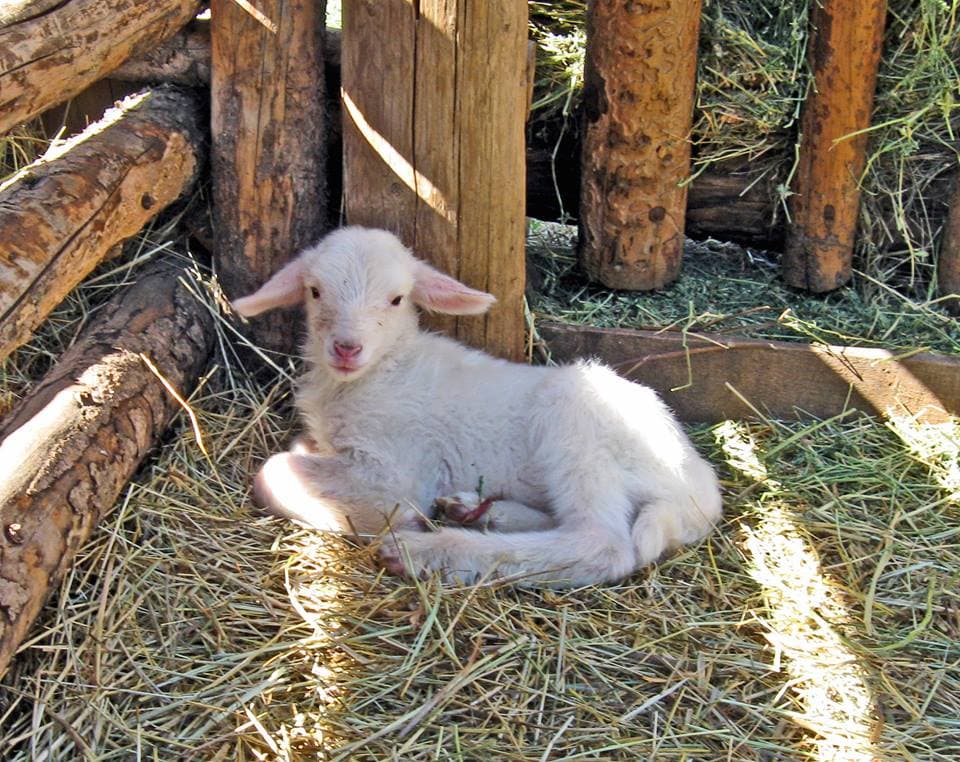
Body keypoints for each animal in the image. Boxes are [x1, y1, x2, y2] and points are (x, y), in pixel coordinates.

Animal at [233, 226, 722, 587]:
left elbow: (276, 470)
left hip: (578, 424)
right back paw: (476, 512)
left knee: (600, 543)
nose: (346, 348)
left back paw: (429, 551)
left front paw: (388, 519)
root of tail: (700, 490)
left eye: (396, 299)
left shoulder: (398, 465)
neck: (385, 370)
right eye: (315, 291)